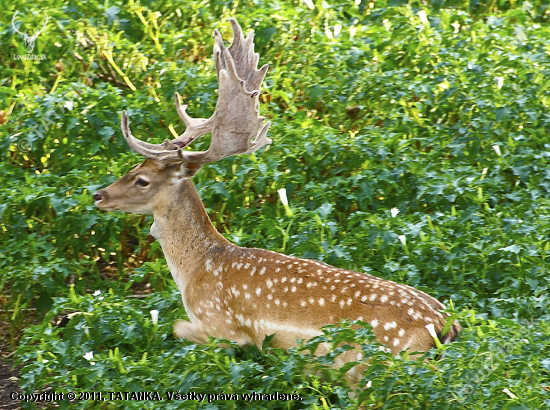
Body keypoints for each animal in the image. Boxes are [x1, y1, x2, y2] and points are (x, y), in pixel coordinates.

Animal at [94, 18, 462, 384]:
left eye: (142, 180)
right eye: (132, 167)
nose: (99, 195)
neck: (197, 268)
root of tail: (445, 327)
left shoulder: (221, 325)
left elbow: (178, 328)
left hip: (379, 363)